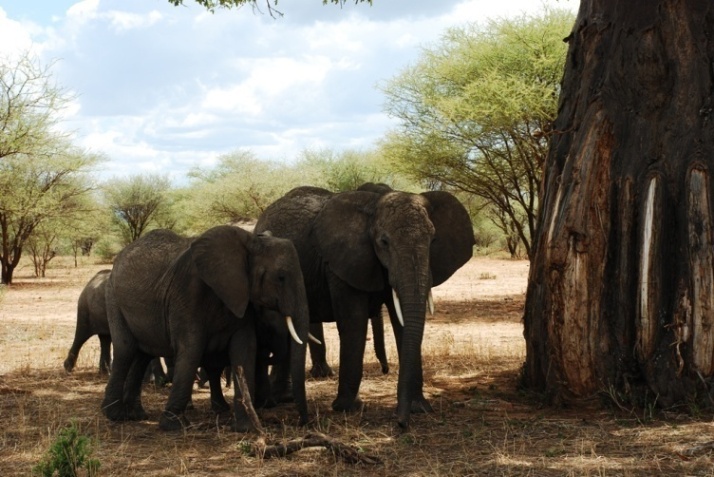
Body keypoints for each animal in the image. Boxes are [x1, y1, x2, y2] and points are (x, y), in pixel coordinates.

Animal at [101, 225, 308, 430]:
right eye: (281, 277)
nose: (301, 423)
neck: (249, 242)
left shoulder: (241, 297)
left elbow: (245, 349)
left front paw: (247, 427)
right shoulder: (186, 294)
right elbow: (191, 350)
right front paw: (174, 426)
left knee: (142, 355)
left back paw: (136, 415)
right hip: (113, 299)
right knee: (126, 350)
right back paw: (115, 415)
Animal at [252, 184, 472, 426]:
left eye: (433, 240)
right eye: (384, 242)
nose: (400, 423)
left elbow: (403, 324)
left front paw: (419, 408)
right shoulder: (340, 264)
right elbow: (354, 322)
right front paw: (347, 408)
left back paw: (284, 398)